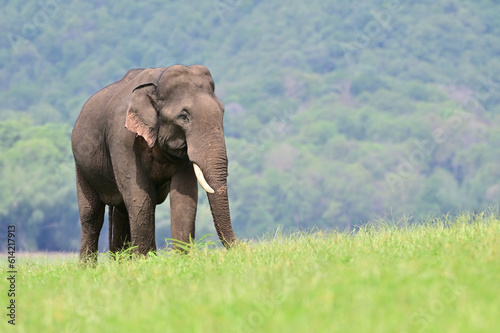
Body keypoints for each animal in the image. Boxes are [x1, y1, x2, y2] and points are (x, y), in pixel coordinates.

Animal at [71, 64, 240, 262]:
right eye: (184, 117)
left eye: (222, 112)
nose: (244, 247)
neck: (156, 84)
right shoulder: (122, 138)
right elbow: (140, 196)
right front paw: (145, 262)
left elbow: (184, 197)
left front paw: (181, 260)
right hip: (81, 165)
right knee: (91, 215)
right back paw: (90, 266)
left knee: (121, 210)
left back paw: (122, 262)